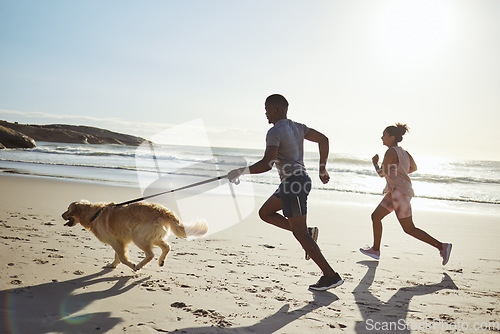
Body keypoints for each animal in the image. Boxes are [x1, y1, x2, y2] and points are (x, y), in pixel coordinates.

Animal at [62, 201, 207, 272]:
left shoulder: (116, 241)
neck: (95, 214)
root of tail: (164, 211)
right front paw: (113, 265)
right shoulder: (119, 240)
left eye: (68, 209)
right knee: (167, 246)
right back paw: (161, 261)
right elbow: (118, 256)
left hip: (138, 237)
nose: (62, 215)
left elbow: (122, 257)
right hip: (152, 237)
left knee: (151, 254)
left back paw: (139, 265)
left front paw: (131, 265)